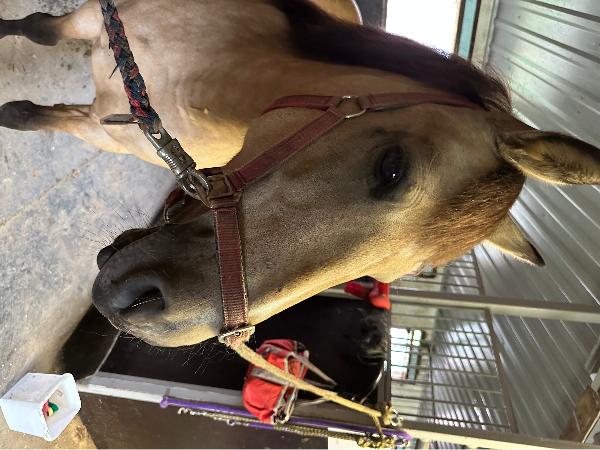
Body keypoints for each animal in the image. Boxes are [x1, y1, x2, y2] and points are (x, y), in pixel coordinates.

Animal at [1, 0, 598, 347]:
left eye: (383, 275)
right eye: (391, 168)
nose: (146, 311)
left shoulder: (105, 127)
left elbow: (30, 109)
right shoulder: (95, 20)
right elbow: (37, 32)